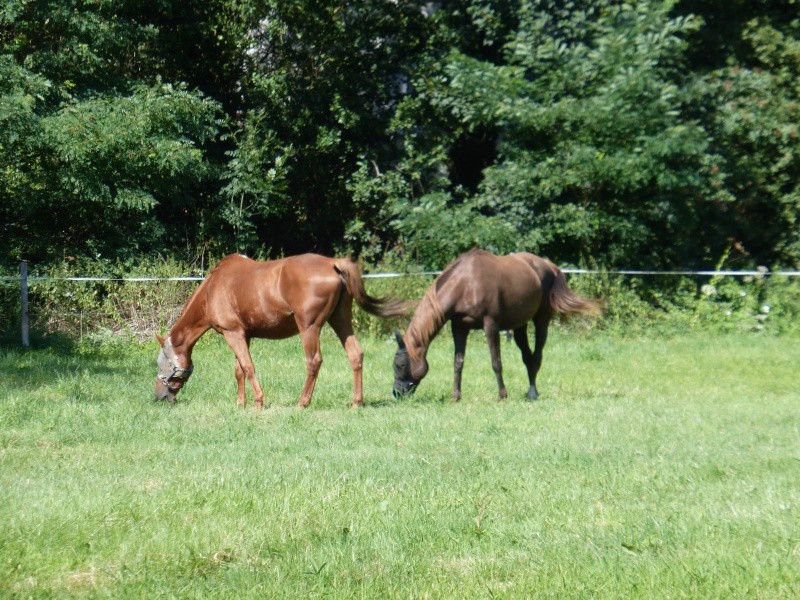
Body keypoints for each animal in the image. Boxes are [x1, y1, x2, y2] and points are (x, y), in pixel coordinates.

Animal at [156, 253, 406, 408]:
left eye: (162, 364)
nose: (158, 396)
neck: (212, 289)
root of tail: (333, 263)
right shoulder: (243, 335)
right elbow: (239, 370)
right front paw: (240, 403)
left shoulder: (232, 334)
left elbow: (248, 367)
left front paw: (258, 402)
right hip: (341, 320)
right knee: (355, 354)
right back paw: (356, 402)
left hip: (309, 327)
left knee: (314, 361)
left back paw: (302, 402)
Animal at [390, 248, 596, 404]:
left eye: (400, 365)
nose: (397, 393)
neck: (465, 284)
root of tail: (550, 266)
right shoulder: (459, 327)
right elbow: (458, 363)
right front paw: (456, 396)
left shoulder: (491, 324)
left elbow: (496, 362)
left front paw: (502, 395)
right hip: (519, 326)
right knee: (528, 357)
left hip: (541, 320)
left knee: (537, 356)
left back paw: (533, 393)